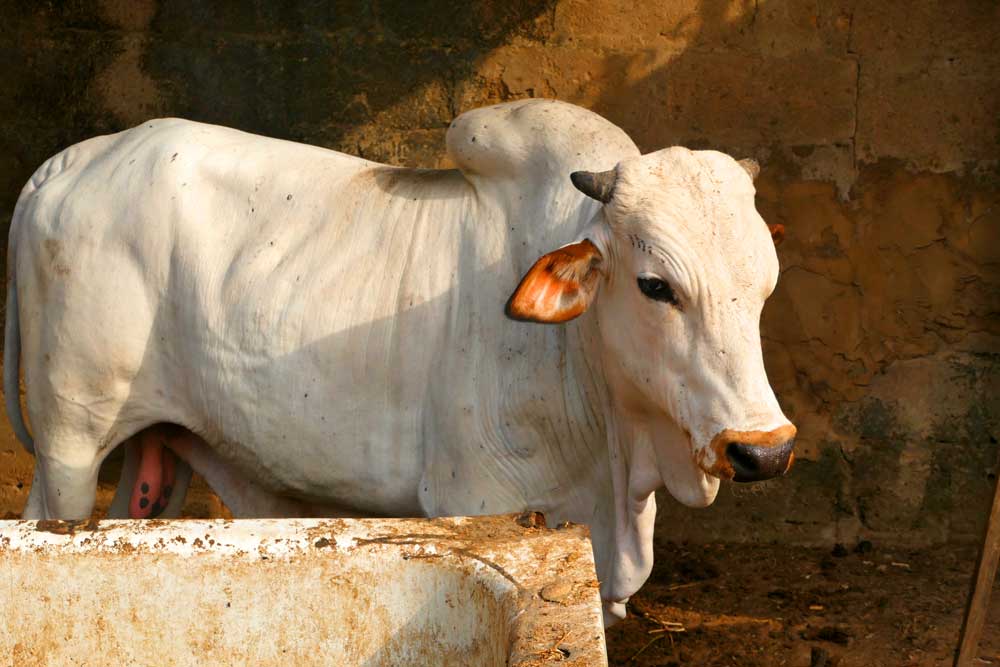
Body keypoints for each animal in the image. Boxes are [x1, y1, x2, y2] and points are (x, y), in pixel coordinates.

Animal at [5, 99, 794, 624]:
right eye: (656, 286)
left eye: (766, 286)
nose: (763, 449)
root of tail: (70, 161)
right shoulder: (481, 499)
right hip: (72, 439)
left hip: (157, 447)